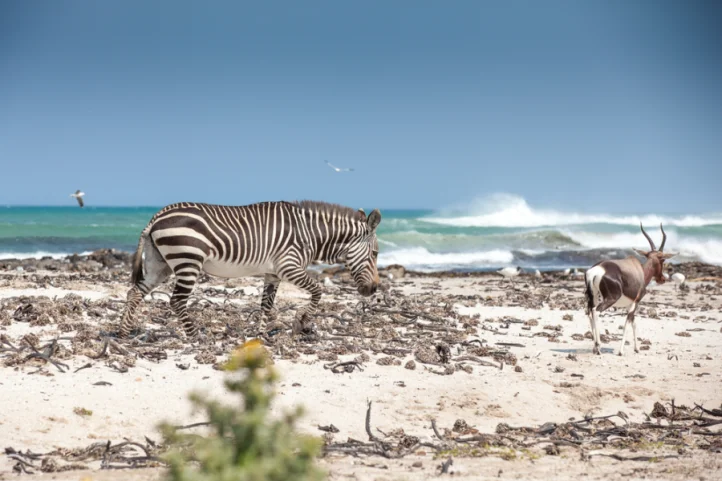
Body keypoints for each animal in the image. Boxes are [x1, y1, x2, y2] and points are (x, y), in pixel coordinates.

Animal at [118, 200, 382, 339]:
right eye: (376, 254)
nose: (374, 290)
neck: (310, 233)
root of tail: (157, 216)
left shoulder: (273, 274)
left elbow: (266, 305)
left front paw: (261, 336)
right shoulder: (289, 267)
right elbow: (318, 291)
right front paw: (301, 322)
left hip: (160, 264)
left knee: (135, 292)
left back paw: (124, 331)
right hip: (188, 261)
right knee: (176, 301)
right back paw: (196, 335)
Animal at [583, 224, 675, 355]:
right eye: (662, 259)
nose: (662, 279)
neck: (640, 271)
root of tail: (597, 270)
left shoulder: (629, 304)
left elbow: (633, 323)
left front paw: (636, 348)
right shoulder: (635, 303)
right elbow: (627, 324)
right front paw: (621, 351)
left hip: (592, 297)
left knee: (589, 311)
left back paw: (595, 347)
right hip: (610, 299)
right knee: (596, 311)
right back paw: (599, 346)